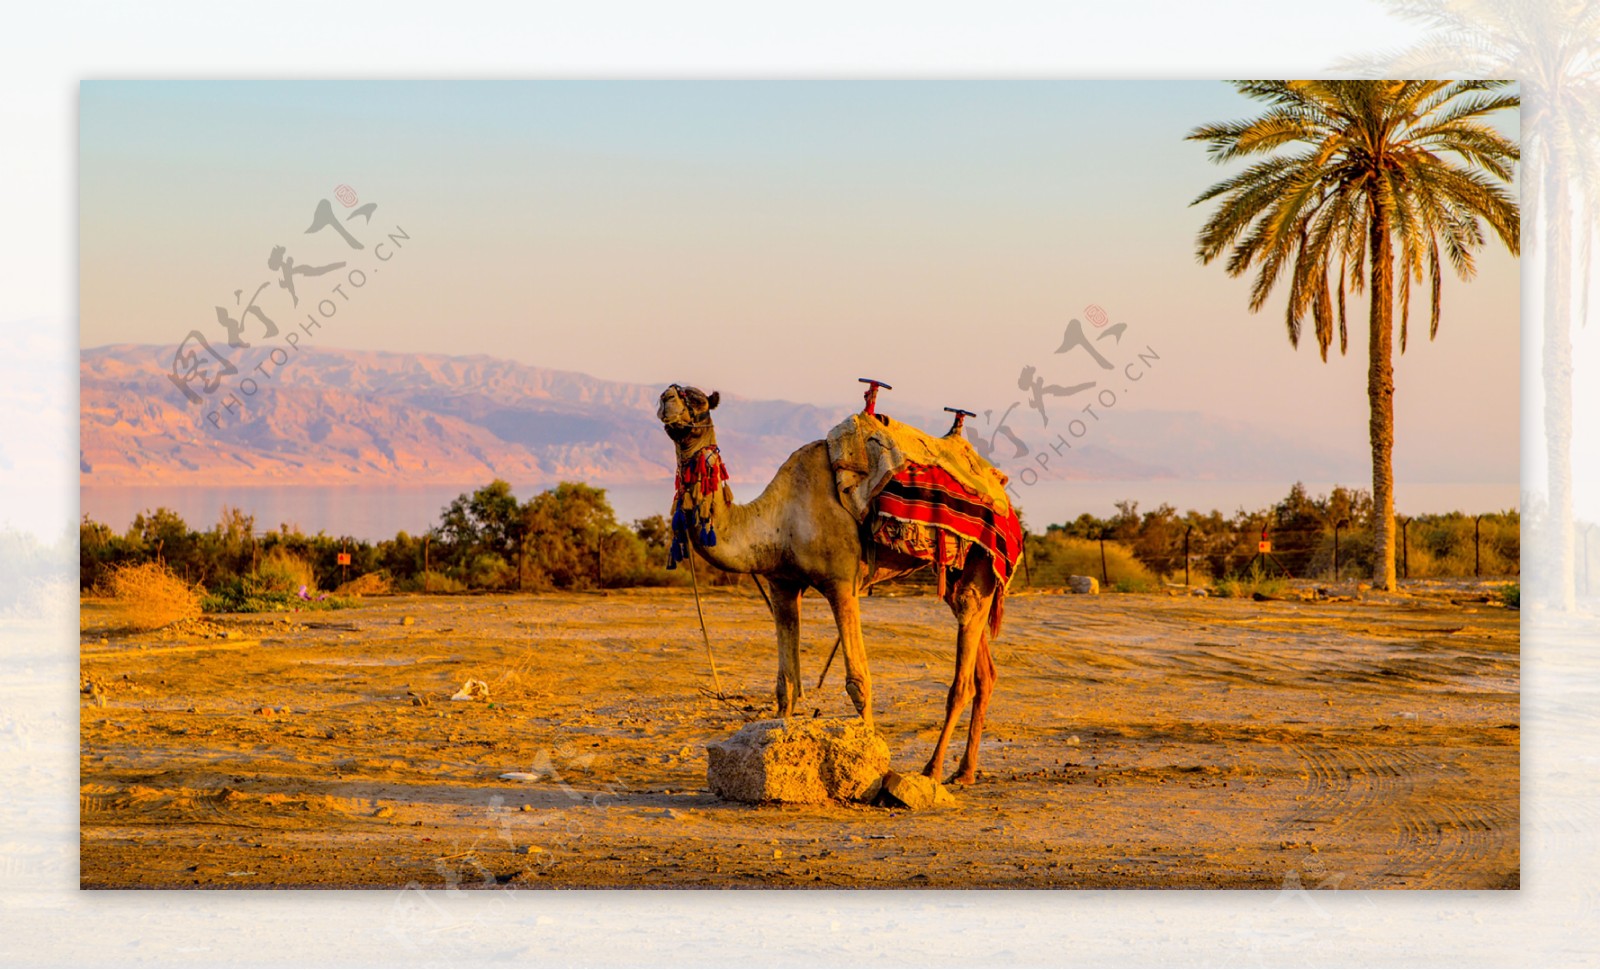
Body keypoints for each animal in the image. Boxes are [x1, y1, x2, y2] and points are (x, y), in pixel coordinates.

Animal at [656, 384, 1004, 787]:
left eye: (697, 400)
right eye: (673, 391)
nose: (666, 398)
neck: (778, 520)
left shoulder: (842, 583)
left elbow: (858, 681)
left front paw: (872, 767)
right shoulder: (782, 584)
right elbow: (786, 684)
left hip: (982, 560)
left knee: (963, 668)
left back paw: (933, 770)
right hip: (956, 572)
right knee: (984, 670)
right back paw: (965, 771)